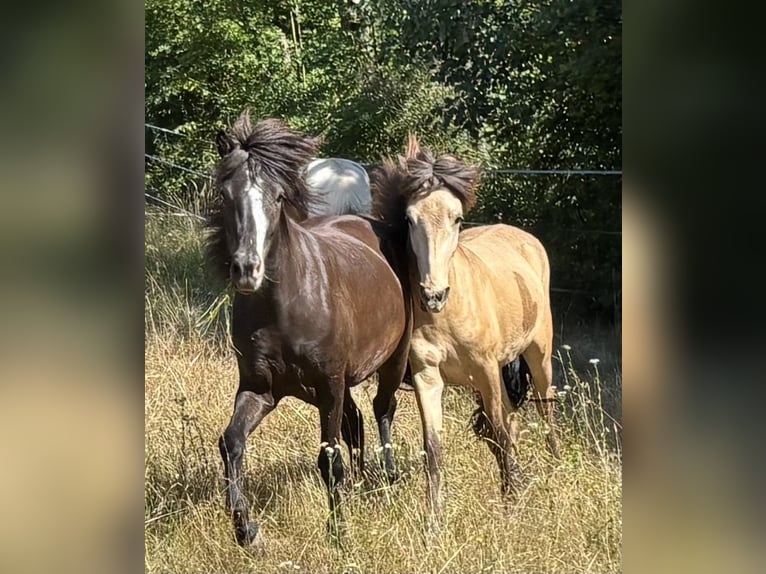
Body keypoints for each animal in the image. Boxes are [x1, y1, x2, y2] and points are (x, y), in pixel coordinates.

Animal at [207, 111, 412, 547]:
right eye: (226, 194)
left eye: (278, 197)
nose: (247, 269)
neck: (284, 309)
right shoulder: (261, 388)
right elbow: (231, 442)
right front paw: (247, 531)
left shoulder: (329, 385)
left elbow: (328, 459)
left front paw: (339, 536)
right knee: (356, 422)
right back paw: (362, 484)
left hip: (392, 360)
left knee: (382, 410)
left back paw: (387, 480)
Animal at [369, 135, 561, 523]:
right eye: (410, 219)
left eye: (457, 217)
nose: (434, 295)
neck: (450, 315)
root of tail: (526, 239)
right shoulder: (428, 376)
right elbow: (434, 447)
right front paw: (434, 520)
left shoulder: (485, 370)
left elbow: (499, 433)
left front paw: (511, 505)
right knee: (513, 418)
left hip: (538, 354)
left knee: (545, 409)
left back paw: (555, 472)